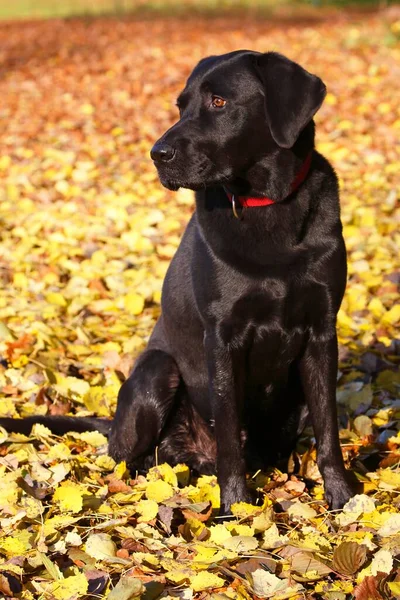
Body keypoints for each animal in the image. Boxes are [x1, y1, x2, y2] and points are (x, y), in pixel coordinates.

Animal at [0, 50, 356, 510]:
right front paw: (235, 509)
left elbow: (328, 430)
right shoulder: (222, 337)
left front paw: (343, 498)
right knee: (127, 456)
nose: (157, 153)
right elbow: (229, 436)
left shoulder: (321, 331)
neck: (269, 205)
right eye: (180, 106)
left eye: (219, 102)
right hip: (156, 371)